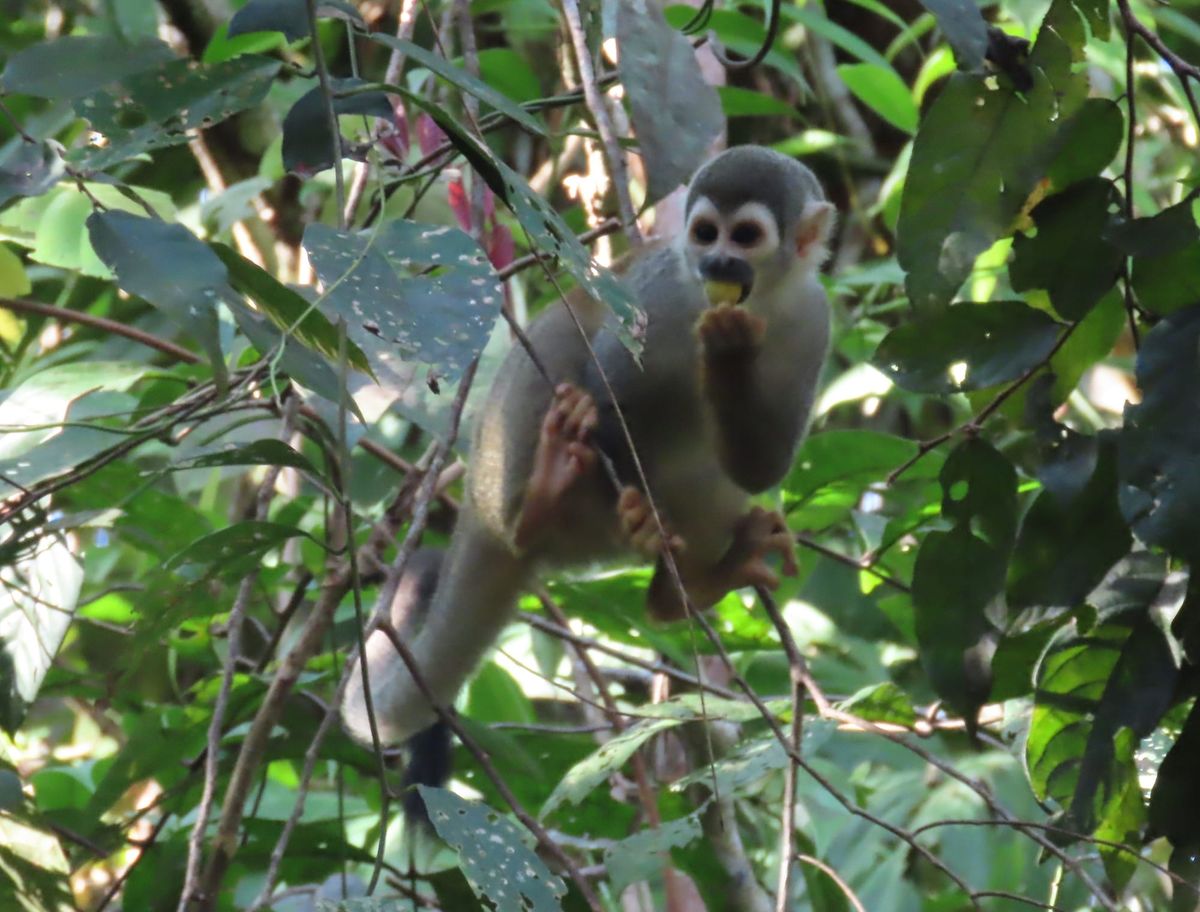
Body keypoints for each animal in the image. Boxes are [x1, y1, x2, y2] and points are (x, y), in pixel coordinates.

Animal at [342, 145, 835, 747]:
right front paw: (637, 513)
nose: (716, 264)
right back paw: (545, 502)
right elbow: (608, 392)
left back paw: (682, 592)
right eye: (705, 233)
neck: (764, 300)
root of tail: (479, 513)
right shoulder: (662, 291)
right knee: (562, 341)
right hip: (508, 466)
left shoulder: (815, 319)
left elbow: (761, 469)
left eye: (744, 236)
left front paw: (729, 352)